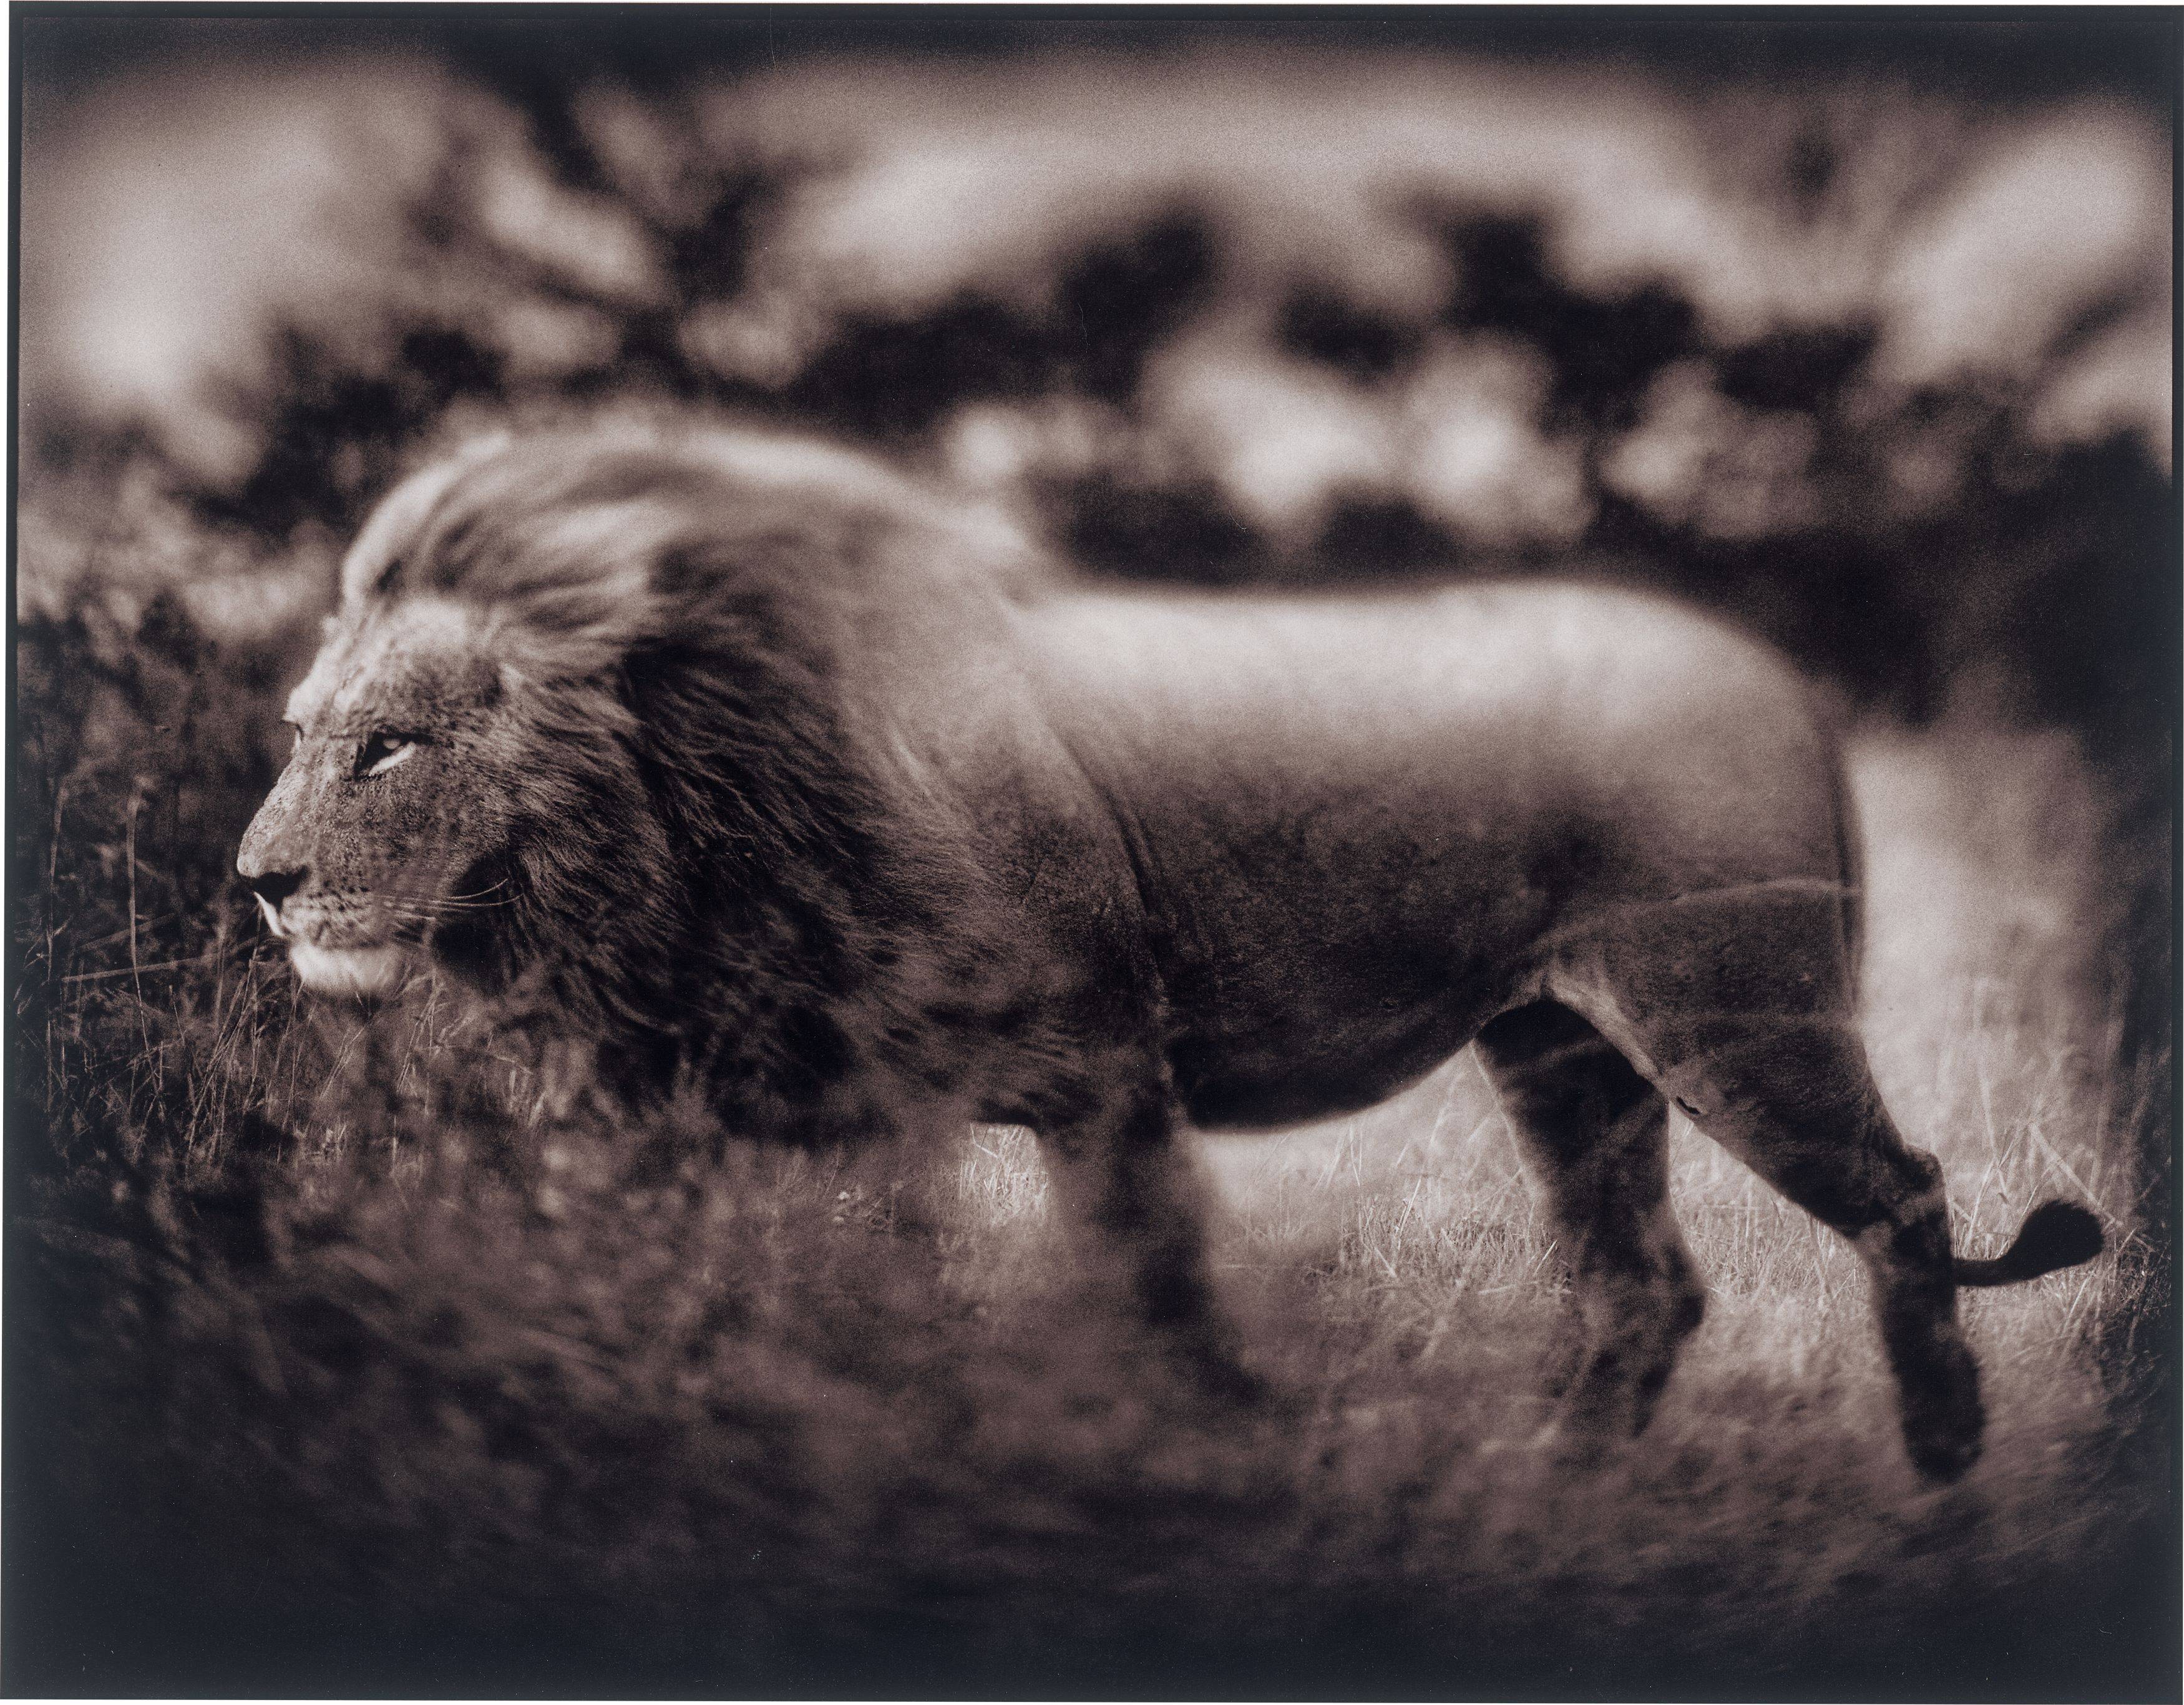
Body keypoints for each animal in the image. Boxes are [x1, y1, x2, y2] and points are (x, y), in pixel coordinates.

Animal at [238, 421, 2103, 1482]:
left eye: (389, 749)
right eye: (301, 731)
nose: (256, 878)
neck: (684, 802)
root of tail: (1775, 673)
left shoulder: (1096, 1068)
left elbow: (1149, 1297)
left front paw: (1203, 1467)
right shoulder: (696, 1109)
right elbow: (712, 1301)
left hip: (1735, 1016)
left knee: (1903, 1193)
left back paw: (1944, 1475)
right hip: (1562, 1051)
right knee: (1641, 1281)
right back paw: (1545, 1483)